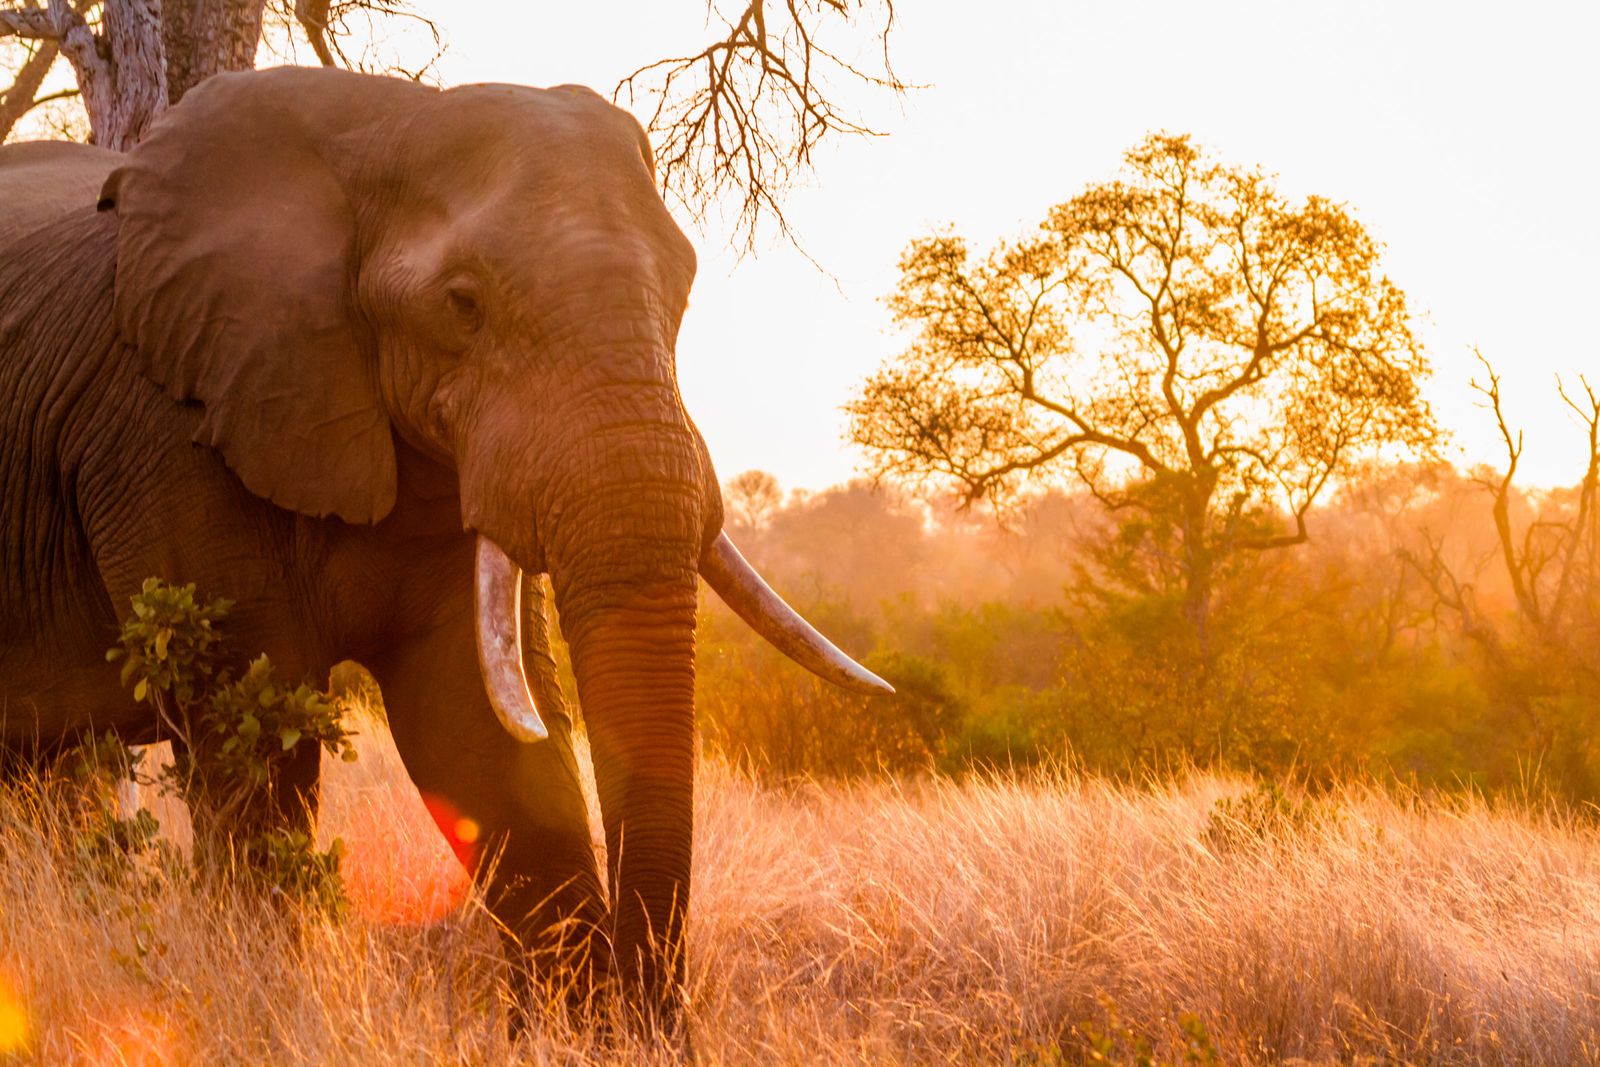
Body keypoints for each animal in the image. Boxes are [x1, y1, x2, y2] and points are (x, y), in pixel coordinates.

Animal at [0, 66, 889, 1026]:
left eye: (685, 289)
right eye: (462, 303)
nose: (655, 1020)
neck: (376, 126)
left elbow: (473, 723)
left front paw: (573, 1031)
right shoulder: (163, 425)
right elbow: (252, 736)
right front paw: (266, 1008)